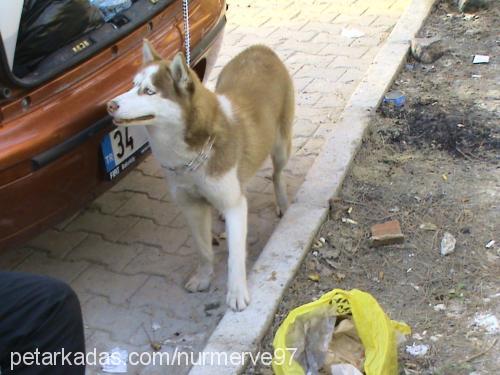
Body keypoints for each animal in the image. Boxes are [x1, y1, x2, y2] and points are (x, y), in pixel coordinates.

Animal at [105, 41, 292, 312]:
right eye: (132, 85)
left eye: (149, 91)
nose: (110, 105)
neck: (189, 159)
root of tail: (259, 48)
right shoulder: (191, 206)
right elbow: (203, 250)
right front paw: (203, 278)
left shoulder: (234, 205)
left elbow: (235, 255)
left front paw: (237, 292)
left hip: (280, 147)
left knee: (277, 174)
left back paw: (283, 203)